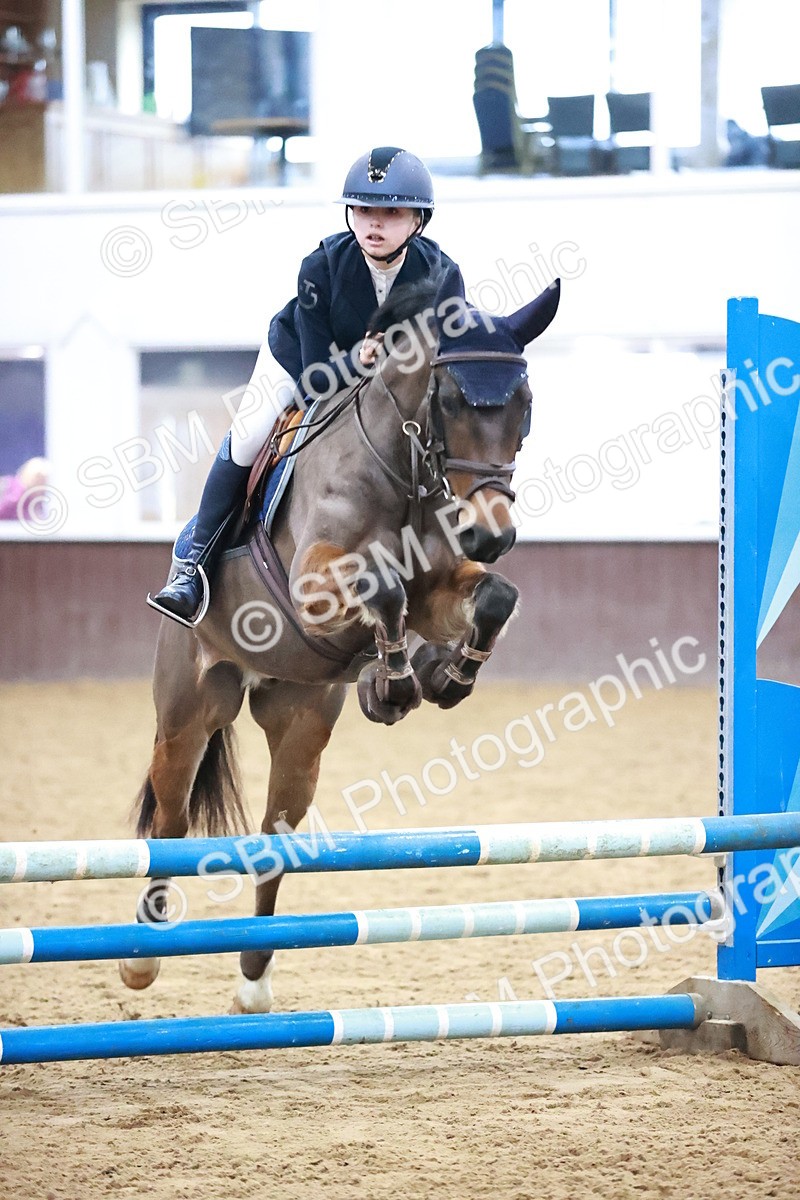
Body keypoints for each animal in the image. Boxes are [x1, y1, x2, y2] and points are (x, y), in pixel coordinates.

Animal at [121, 266, 560, 1012]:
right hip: (188, 710)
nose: (490, 534)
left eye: (525, 404)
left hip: (300, 724)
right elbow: (381, 588)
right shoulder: (313, 584)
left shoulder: (440, 586)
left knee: (274, 840)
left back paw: (254, 985)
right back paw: (141, 962)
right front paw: (394, 685)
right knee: (171, 823)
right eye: (451, 399)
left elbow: (491, 597)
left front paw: (438, 676)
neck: (403, 466)